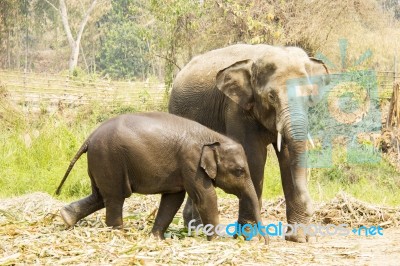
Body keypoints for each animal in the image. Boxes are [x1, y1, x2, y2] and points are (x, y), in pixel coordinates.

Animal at [54, 111, 264, 240]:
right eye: (239, 171)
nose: (265, 242)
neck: (213, 137)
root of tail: (89, 137)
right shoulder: (191, 163)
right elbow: (206, 197)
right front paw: (217, 241)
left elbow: (173, 198)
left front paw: (156, 238)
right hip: (109, 158)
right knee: (114, 197)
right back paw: (119, 234)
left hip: (102, 162)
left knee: (100, 196)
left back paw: (66, 218)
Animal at [167, 44, 330, 243]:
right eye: (271, 96)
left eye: (308, 96)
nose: (311, 209)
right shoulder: (236, 108)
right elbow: (253, 156)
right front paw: (250, 238)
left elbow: (288, 157)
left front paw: (298, 238)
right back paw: (196, 230)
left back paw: (195, 229)